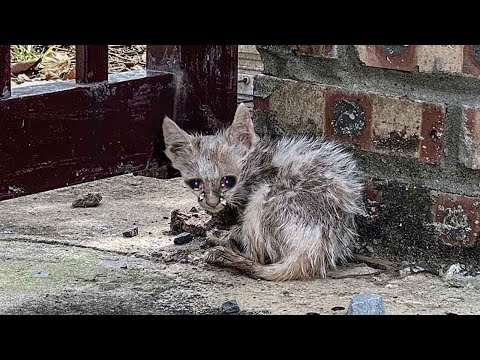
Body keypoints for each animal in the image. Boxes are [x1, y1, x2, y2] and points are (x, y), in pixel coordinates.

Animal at [161, 102, 364, 280]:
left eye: (228, 181)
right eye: (195, 183)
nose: (212, 203)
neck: (252, 164)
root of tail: (315, 248)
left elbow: (241, 230)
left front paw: (227, 235)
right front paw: (225, 233)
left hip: (264, 195)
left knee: (257, 257)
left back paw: (227, 253)